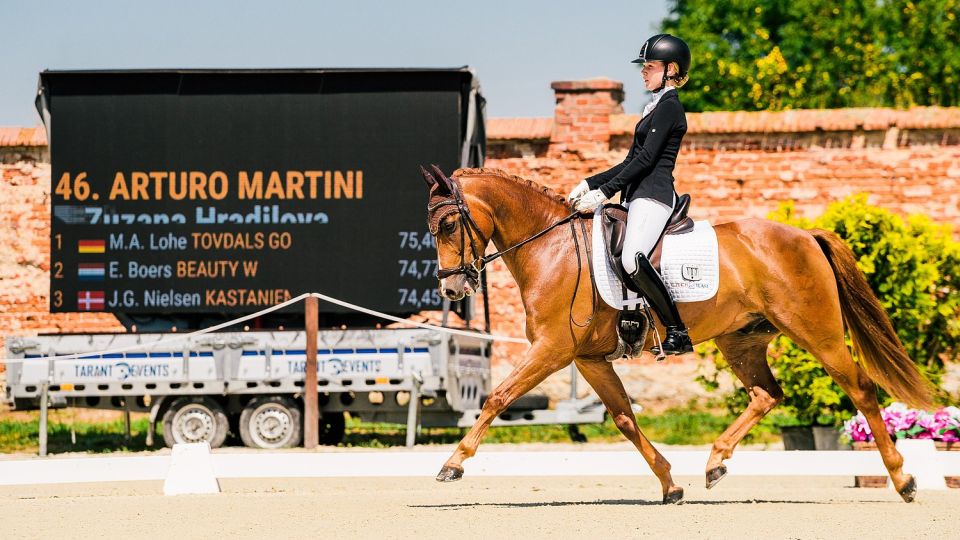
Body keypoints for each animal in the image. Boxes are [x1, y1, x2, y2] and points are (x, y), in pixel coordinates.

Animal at [420, 165, 934, 504]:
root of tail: (806, 235)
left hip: (818, 333)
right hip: (741, 340)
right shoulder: (588, 358)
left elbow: (498, 397)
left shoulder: (552, 349)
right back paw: (715, 463)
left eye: (449, 223)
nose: (451, 288)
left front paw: (452, 464)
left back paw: (904, 481)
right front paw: (670, 484)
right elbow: (624, 419)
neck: (552, 248)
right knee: (767, 394)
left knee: (861, 389)